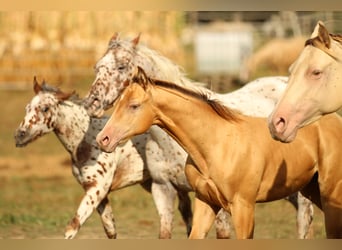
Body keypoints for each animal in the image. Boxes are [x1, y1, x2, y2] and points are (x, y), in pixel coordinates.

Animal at [14, 77, 198, 238]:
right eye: (27, 108)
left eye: (45, 108)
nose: (19, 136)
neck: (86, 139)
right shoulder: (98, 193)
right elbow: (110, 230)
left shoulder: (98, 188)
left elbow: (73, 227)